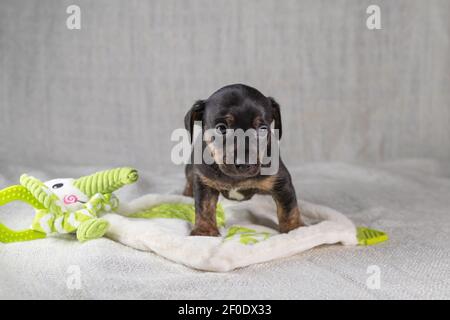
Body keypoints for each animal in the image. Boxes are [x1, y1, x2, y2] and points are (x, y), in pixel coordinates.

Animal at [184, 84, 306, 236]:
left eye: (262, 129)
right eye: (221, 128)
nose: (245, 163)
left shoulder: (282, 182)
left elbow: (289, 208)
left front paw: (295, 229)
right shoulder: (204, 182)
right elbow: (204, 207)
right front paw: (204, 231)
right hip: (190, 169)